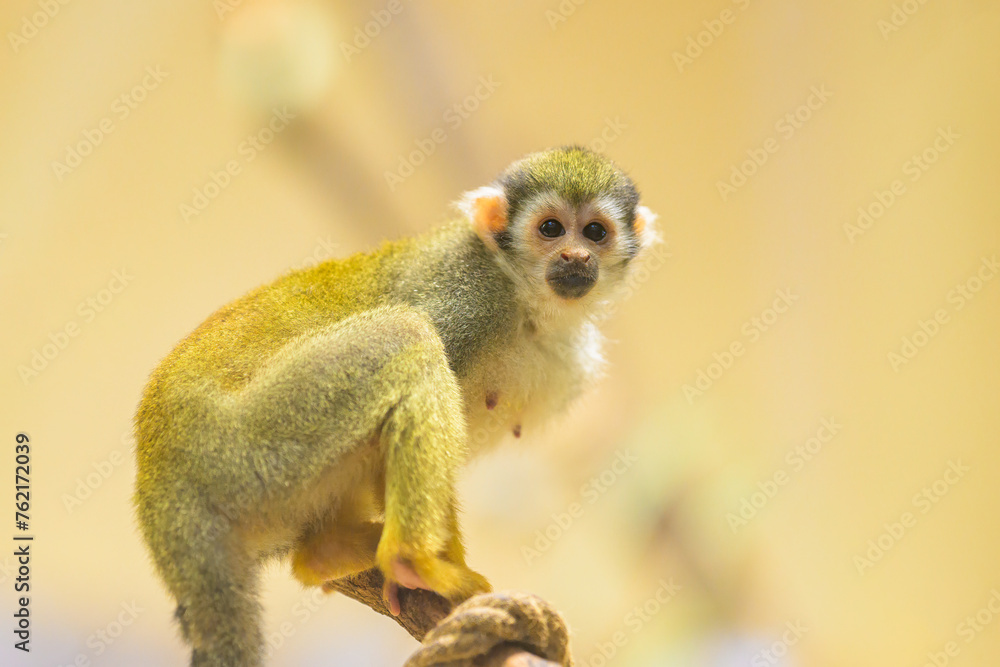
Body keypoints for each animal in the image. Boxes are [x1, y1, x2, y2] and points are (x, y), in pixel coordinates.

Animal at [133, 145, 658, 666]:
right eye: (551, 228)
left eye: (595, 232)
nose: (575, 255)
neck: (525, 297)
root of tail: (160, 477)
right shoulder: (467, 295)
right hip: (246, 447)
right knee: (408, 333)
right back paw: (411, 560)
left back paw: (325, 552)